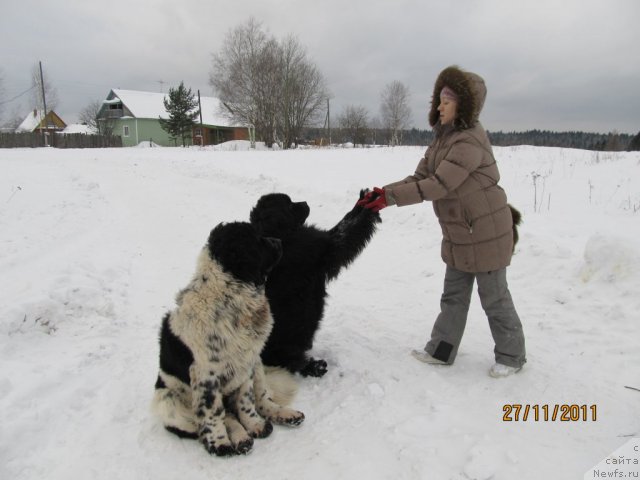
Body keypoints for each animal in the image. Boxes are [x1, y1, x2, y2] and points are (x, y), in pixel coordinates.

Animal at [151, 222, 304, 458]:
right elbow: (213, 413)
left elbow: (246, 399)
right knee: (220, 416)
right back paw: (239, 439)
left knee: (261, 398)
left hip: (258, 365)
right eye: (258, 239)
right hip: (168, 399)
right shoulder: (206, 375)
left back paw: (283, 415)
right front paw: (219, 442)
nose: (278, 241)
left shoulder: (246, 362)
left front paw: (256, 425)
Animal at [250, 190, 380, 376]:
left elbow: (344, 223)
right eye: (289, 204)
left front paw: (363, 199)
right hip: (286, 343)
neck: (281, 234)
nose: (305, 202)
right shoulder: (322, 246)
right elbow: (344, 232)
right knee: (290, 362)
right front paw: (369, 204)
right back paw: (315, 367)